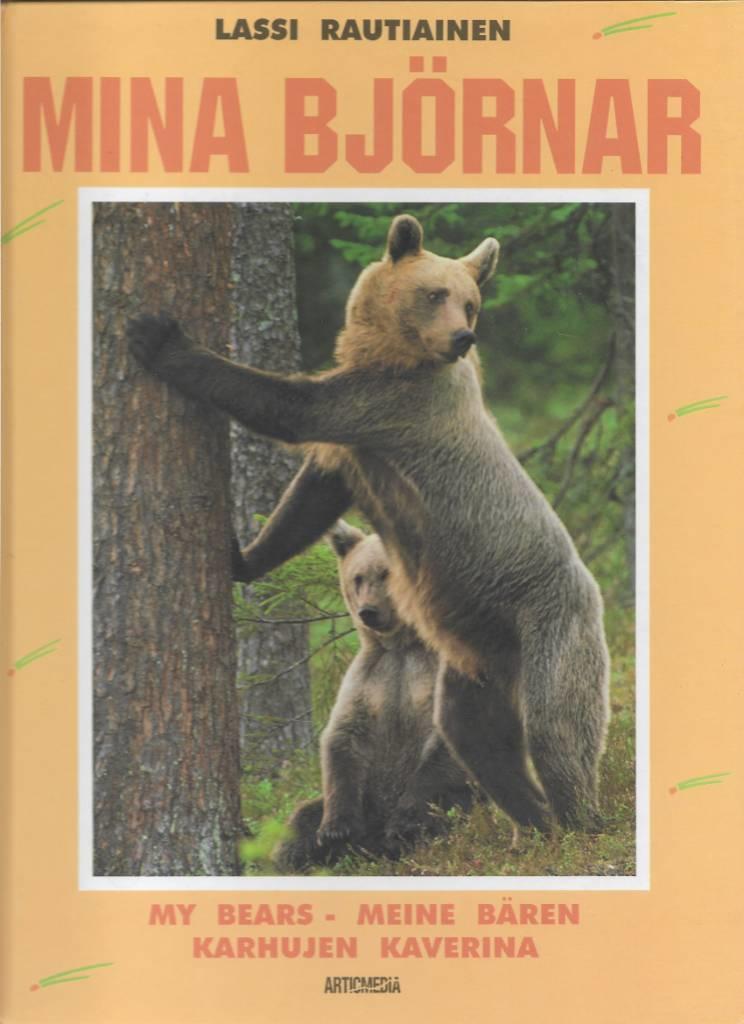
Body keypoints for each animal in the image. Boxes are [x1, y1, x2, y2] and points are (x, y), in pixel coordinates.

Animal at [128, 212, 611, 832]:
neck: (392, 355)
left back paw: (576, 820)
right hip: (474, 655)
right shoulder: (362, 434)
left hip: (550, 622)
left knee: (558, 726)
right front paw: (242, 557)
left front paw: (159, 337)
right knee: (474, 734)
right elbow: (312, 496)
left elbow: (287, 404)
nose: (463, 338)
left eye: (470, 302)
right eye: (436, 294)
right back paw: (533, 822)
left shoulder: (390, 405)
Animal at [274, 520, 474, 872]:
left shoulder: (434, 673)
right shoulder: (369, 679)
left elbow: (445, 742)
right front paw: (336, 830)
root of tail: (370, 848)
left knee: (455, 807)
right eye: (359, 577)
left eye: (386, 574)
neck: (402, 645)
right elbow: (341, 737)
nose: (368, 611)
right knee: (300, 821)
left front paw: (406, 820)